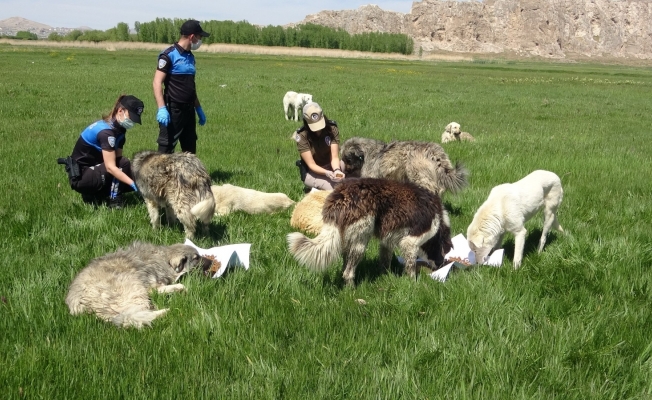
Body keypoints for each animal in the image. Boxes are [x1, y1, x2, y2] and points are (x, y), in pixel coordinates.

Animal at [65, 241, 211, 328]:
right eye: (196, 258)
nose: (211, 262)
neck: (164, 258)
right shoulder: (151, 286)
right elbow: (175, 287)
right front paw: (180, 288)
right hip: (133, 288)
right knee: (132, 317)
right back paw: (164, 311)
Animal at [288, 177, 450, 286]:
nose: (440, 264)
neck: (438, 220)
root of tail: (341, 197)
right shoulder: (410, 242)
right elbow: (410, 268)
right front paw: (413, 284)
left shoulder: (387, 241)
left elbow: (385, 262)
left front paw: (386, 276)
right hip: (360, 242)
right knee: (348, 273)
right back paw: (351, 292)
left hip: (349, 239)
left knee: (345, 267)